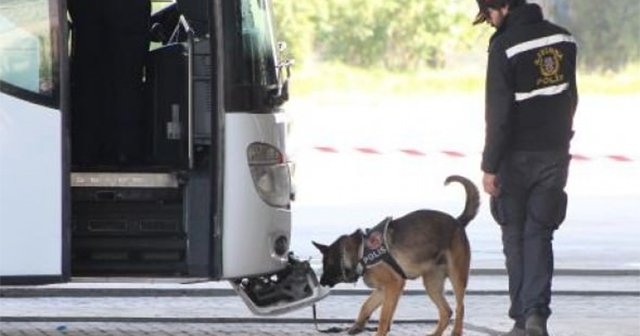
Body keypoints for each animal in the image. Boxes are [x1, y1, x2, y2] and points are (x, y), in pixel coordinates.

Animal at [312, 175, 478, 334]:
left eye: (326, 265)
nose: (321, 282)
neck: (360, 252)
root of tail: (458, 222)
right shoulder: (382, 290)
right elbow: (366, 307)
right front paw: (357, 326)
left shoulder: (394, 285)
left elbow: (384, 319)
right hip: (432, 284)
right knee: (446, 311)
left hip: (457, 277)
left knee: (460, 308)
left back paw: (455, 331)